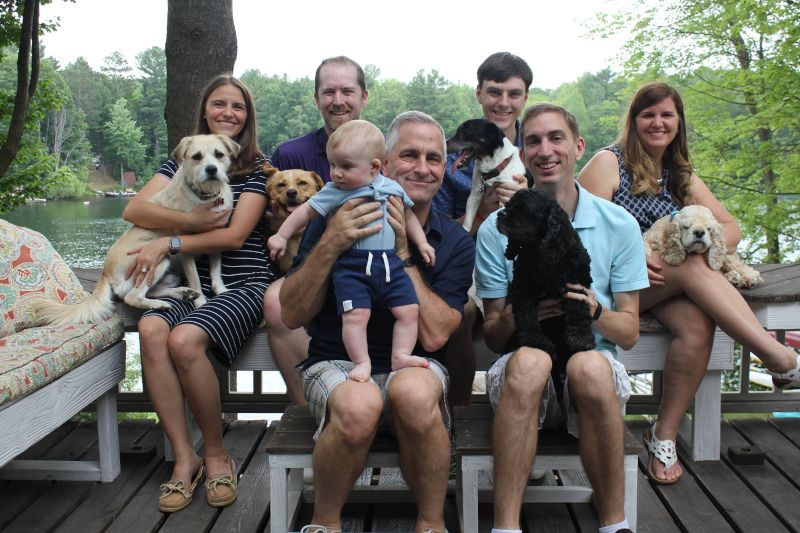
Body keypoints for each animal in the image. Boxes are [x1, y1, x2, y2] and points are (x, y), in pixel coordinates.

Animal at [34, 134, 239, 324]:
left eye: (219, 154)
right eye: (197, 156)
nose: (211, 169)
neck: (204, 197)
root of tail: (105, 272)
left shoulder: (216, 238)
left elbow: (216, 271)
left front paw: (221, 289)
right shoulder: (186, 250)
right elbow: (196, 280)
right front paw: (201, 302)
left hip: (169, 273)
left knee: (153, 290)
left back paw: (183, 293)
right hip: (158, 260)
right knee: (132, 296)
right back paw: (163, 303)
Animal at [496, 187, 596, 378]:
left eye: (524, 208)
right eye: (508, 204)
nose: (500, 214)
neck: (541, 253)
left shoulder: (577, 284)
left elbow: (578, 311)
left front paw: (581, 339)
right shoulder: (523, 287)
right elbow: (527, 315)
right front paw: (535, 339)